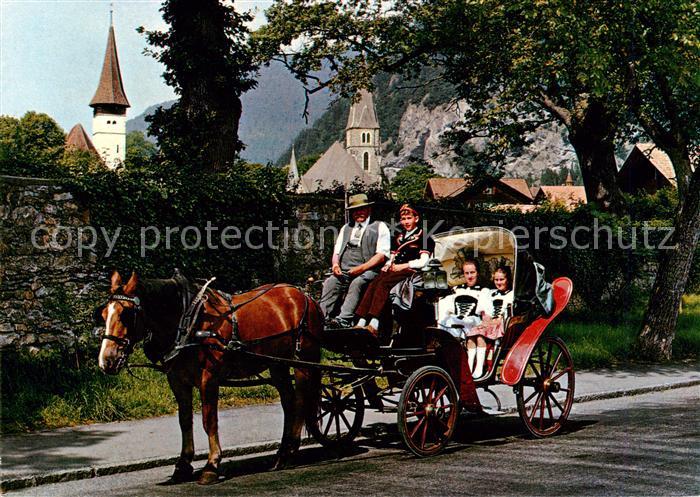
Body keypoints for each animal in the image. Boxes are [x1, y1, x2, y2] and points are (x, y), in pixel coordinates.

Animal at [95, 272, 322, 484]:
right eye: (104, 313)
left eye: (126, 314)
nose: (107, 360)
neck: (189, 323)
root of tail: (305, 295)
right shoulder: (177, 381)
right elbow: (185, 421)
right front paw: (183, 465)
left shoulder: (209, 378)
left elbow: (208, 420)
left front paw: (211, 465)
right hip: (277, 364)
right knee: (288, 403)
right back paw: (282, 453)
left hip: (302, 360)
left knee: (300, 401)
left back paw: (290, 452)